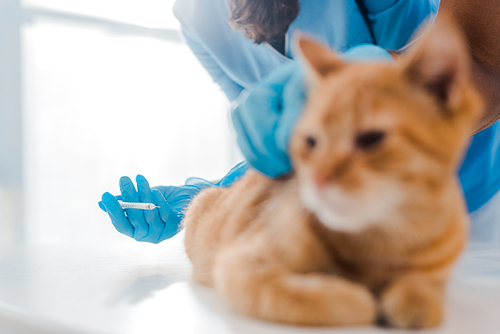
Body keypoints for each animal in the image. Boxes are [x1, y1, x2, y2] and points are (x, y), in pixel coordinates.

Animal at [182, 17, 482, 328]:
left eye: (371, 139)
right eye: (311, 141)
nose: (318, 178)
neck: (384, 243)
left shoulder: (436, 271)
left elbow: (425, 291)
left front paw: (413, 298)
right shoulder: (242, 267)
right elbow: (324, 301)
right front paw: (360, 298)